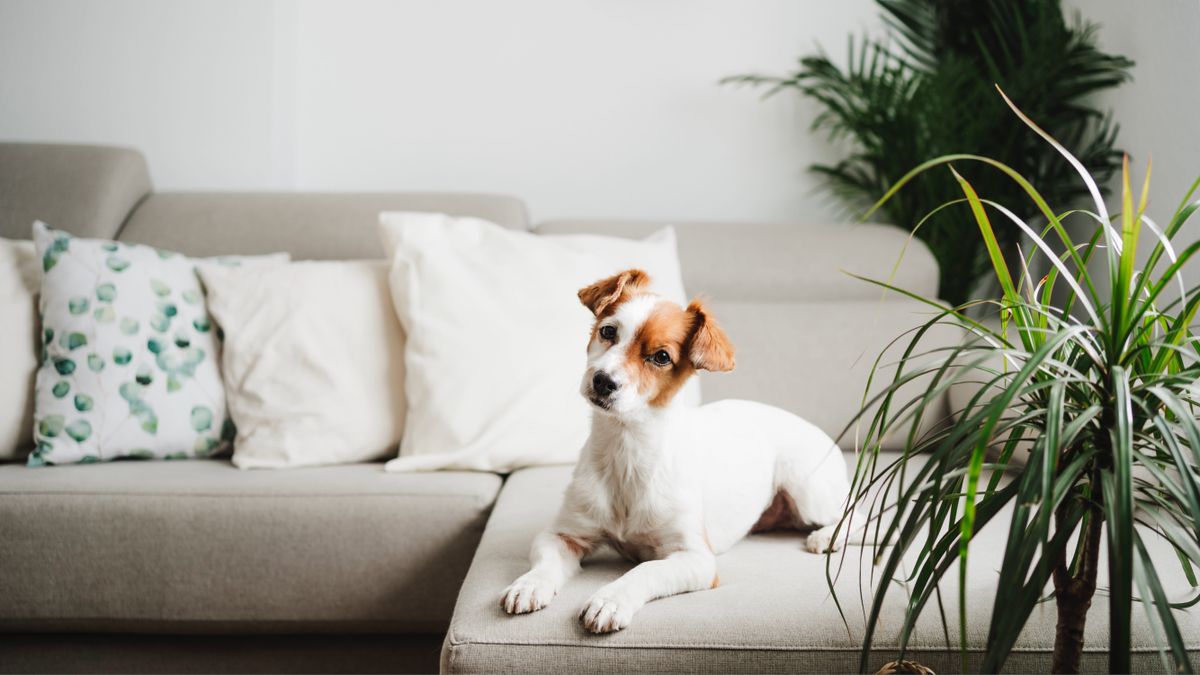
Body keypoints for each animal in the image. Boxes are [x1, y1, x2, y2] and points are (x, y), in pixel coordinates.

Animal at [501, 266, 859, 629]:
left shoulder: (695, 559)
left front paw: (611, 599)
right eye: (608, 331)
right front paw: (529, 584)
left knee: (858, 511)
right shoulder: (562, 534)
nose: (603, 381)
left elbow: (645, 570)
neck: (626, 450)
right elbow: (545, 562)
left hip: (808, 491)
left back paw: (827, 537)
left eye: (661, 357)